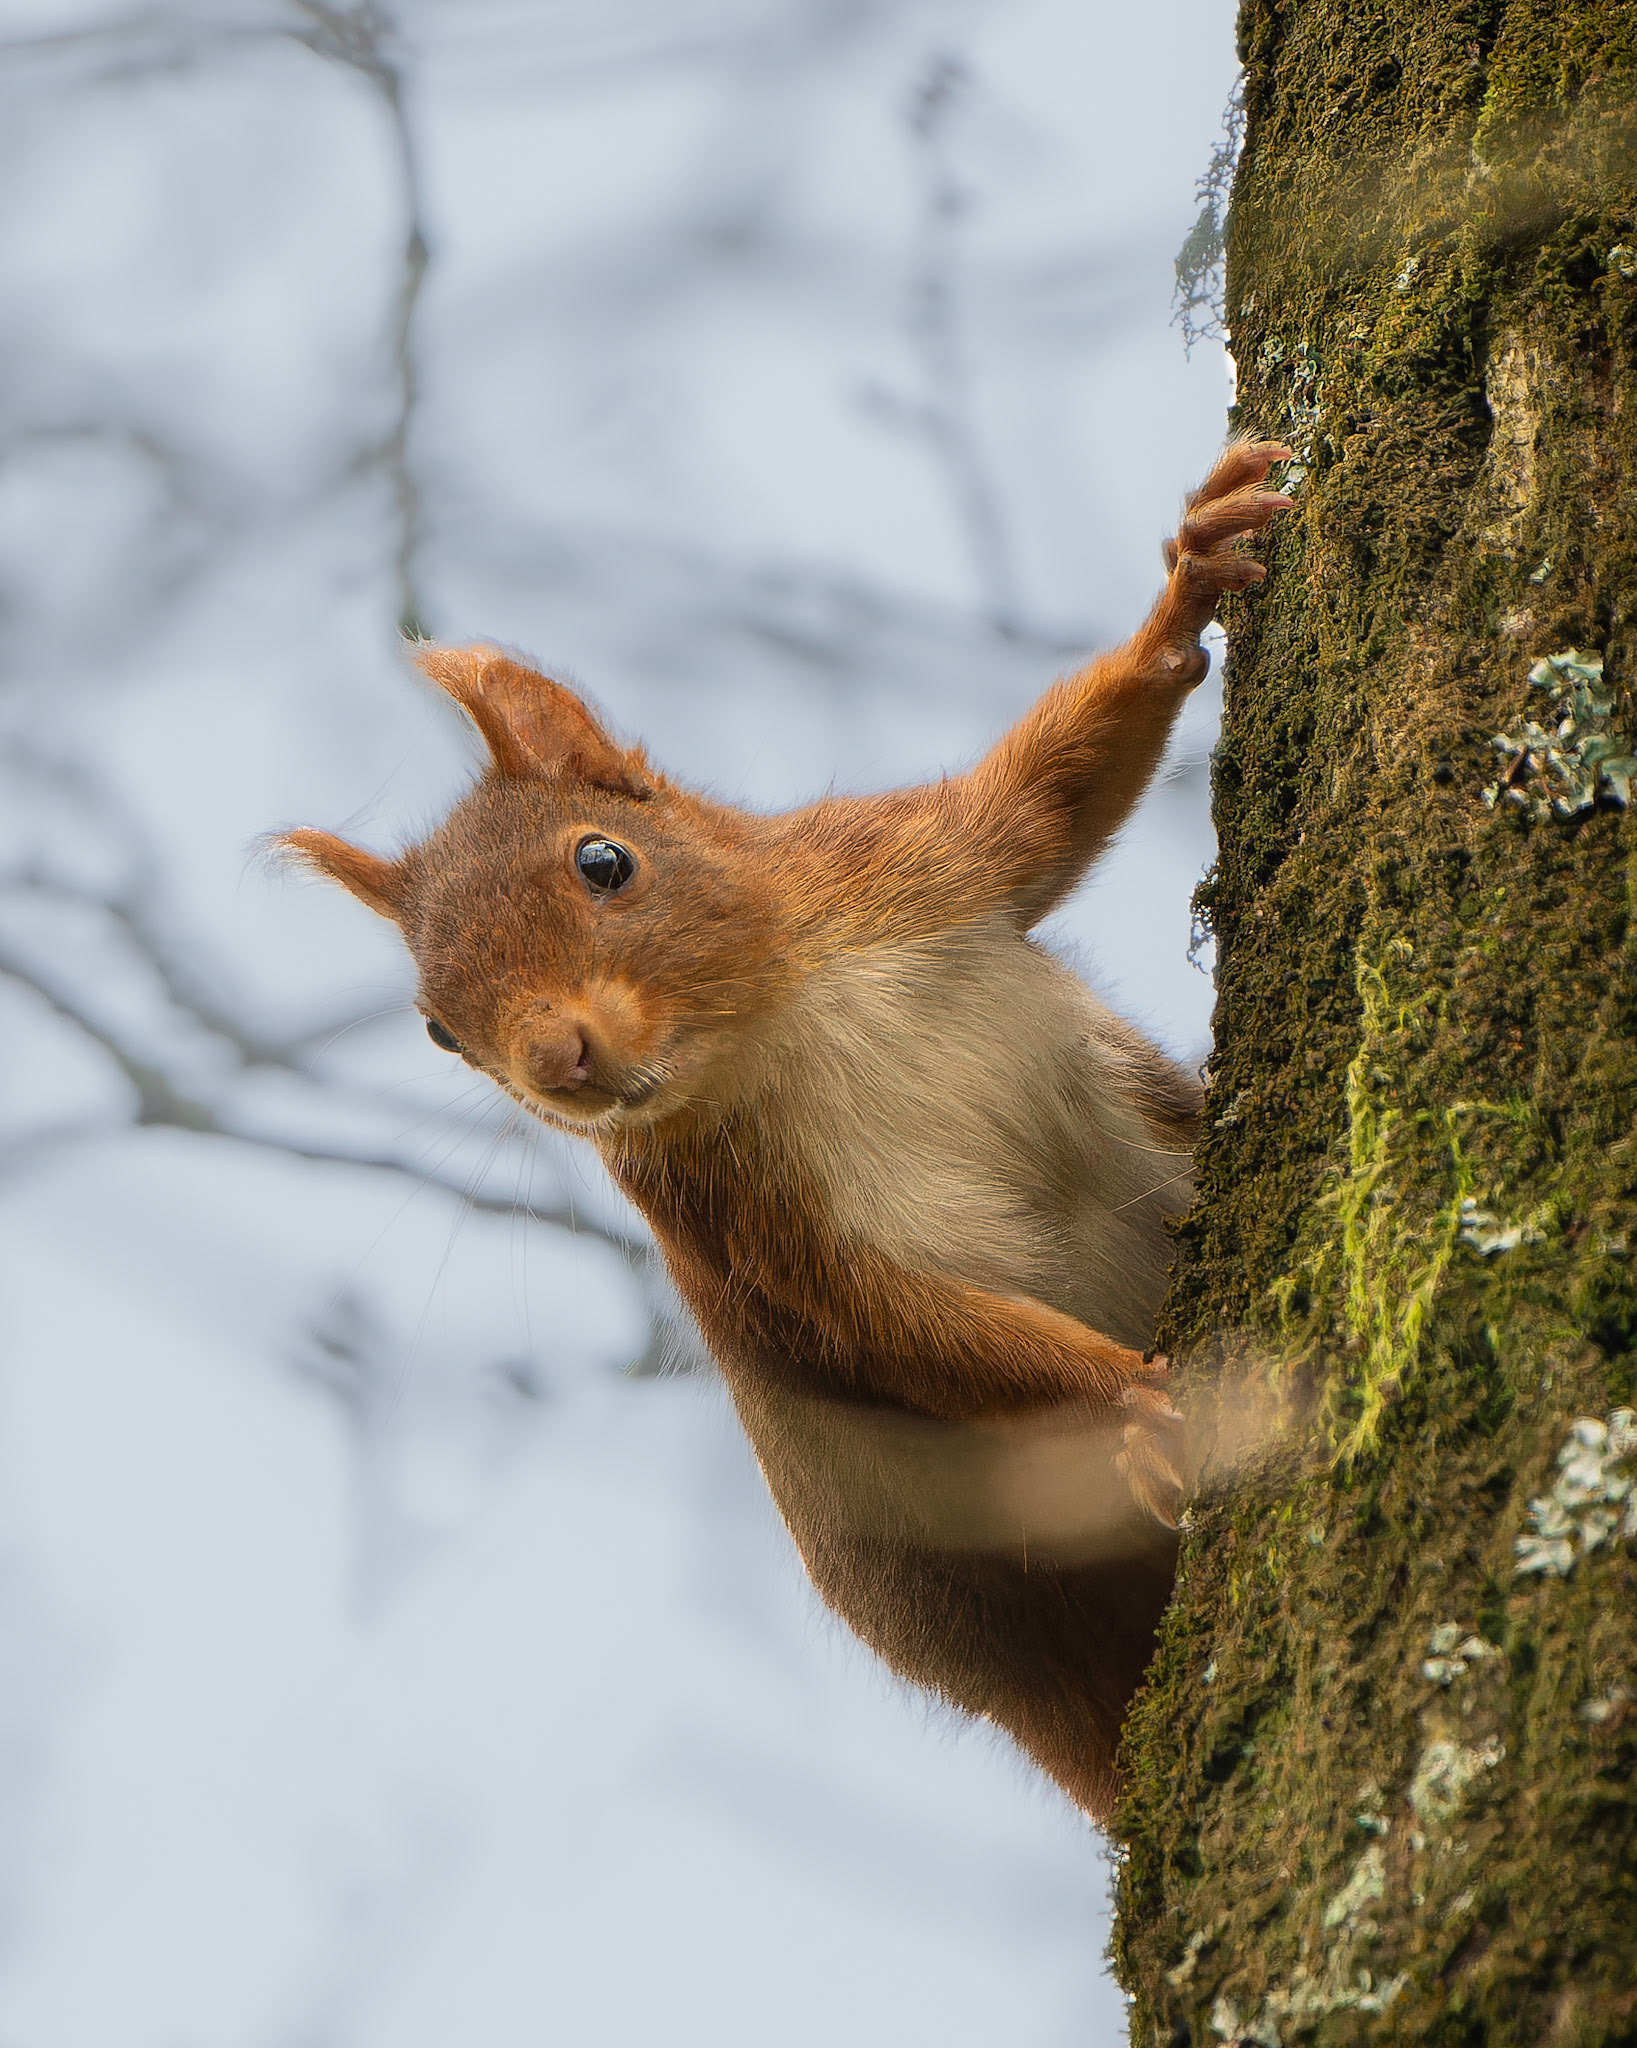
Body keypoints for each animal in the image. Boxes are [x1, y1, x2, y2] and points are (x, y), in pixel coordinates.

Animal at [283, 438, 1291, 1823]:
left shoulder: (904, 861)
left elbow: (1050, 797)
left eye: (604, 860)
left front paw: (1186, 586)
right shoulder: (740, 1217)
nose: (557, 1062)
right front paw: (1130, 1397)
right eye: (438, 1030)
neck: (773, 1023)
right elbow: (891, 1323)